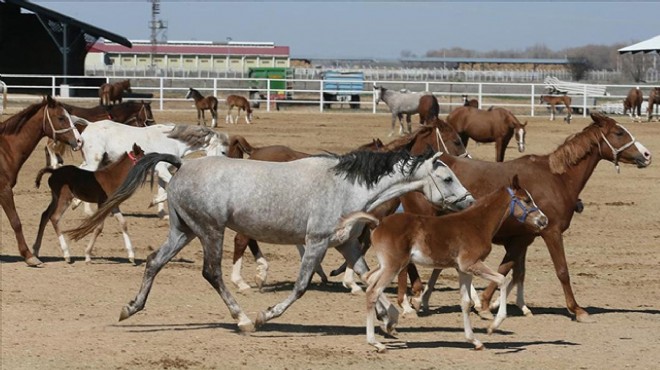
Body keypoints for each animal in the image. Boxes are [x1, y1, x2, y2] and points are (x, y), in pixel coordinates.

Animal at [0, 95, 82, 266]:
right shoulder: (4, 190)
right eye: (61, 118)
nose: (79, 141)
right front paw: (29, 256)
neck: (5, 150)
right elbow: (16, 222)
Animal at [67, 150, 474, 332]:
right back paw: (244, 318)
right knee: (212, 273)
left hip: (183, 231)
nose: (469, 201)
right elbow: (301, 286)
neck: (347, 186)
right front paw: (267, 315)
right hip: (210, 231)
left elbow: (368, 277)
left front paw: (388, 319)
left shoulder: (346, 244)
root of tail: (182, 165)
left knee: (154, 262)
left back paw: (130, 308)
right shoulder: (317, 242)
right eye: (447, 178)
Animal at [75, 118, 227, 218]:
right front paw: (154, 202)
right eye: (223, 151)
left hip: (101, 161)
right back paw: (82, 208)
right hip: (95, 161)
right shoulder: (162, 170)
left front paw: (162, 214)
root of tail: (89, 125)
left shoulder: (162, 172)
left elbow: (162, 190)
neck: (173, 142)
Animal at [336, 175, 548, 352]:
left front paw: (475, 341)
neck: (477, 224)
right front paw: (492, 326)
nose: (543, 220)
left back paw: (388, 324)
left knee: (369, 279)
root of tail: (378, 223)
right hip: (393, 266)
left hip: (387, 265)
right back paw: (376, 342)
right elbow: (502, 280)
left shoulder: (463, 270)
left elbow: (466, 302)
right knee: (373, 291)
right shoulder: (472, 264)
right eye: (527, 200)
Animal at [402, 113, 648, 324]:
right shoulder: (551, 232)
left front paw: (490, 304)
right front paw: (577, 309)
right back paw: (414, 299)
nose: (646, 155)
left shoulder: (524, 237)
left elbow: (510, 269)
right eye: (619, 132)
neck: (556, 179)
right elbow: (561, 271)